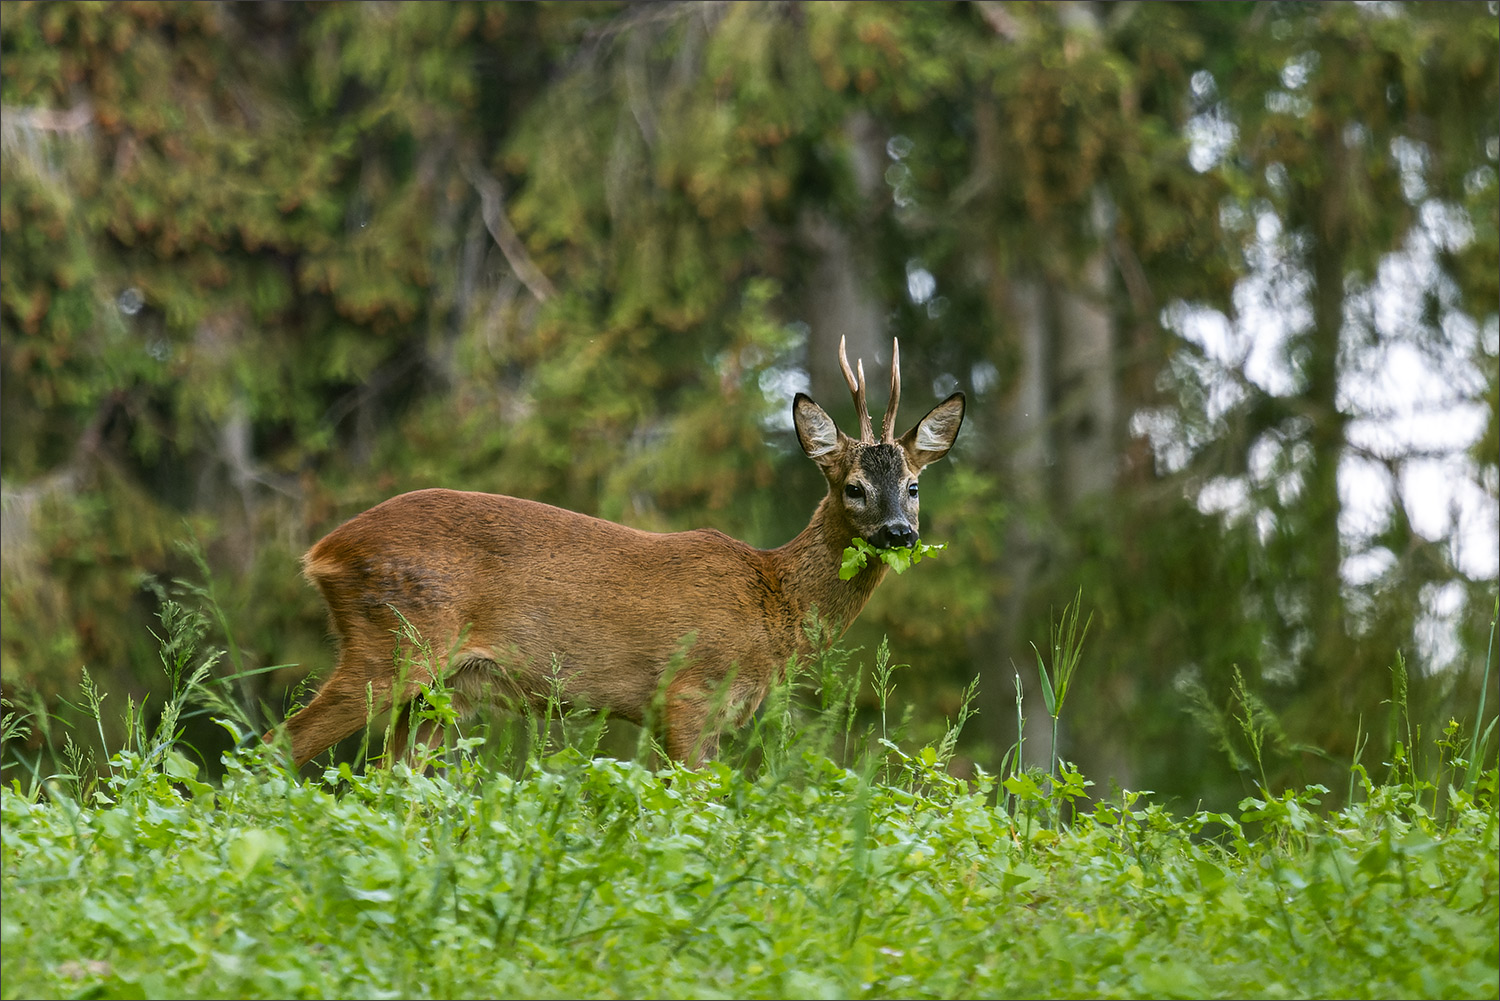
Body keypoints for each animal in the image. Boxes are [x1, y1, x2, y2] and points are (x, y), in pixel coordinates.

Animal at [271, 336, 966, 768]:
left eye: (913, 485)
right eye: (853, 487)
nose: (900, 532)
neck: (775, 604)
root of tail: (323, 551)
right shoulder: (688, 694)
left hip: (439, 690)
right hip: (393, 641)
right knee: (279, 745)